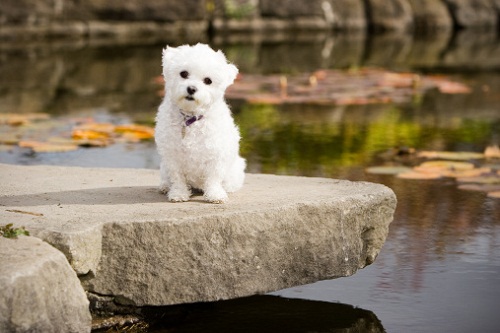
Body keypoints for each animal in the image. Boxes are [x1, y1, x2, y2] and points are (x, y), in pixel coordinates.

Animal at [153, 43, 245, 202]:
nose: (191, 88)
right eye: (183, 73)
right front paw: (178, 193)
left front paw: (215, 194)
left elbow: (214, 178)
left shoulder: (216, 154)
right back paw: (165, 186)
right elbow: (177, 177)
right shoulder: (172, 155)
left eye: (208, 80)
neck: (191, 119)